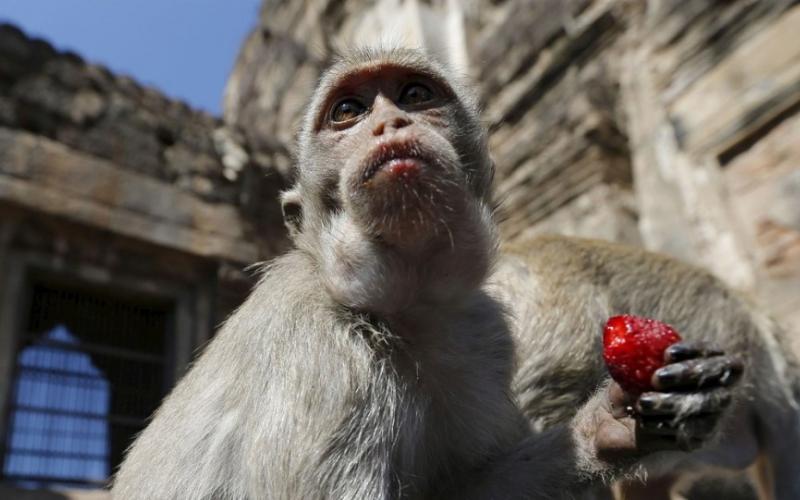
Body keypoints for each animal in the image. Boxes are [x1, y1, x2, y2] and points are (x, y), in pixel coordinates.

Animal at [111, 47, 744, 500]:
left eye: (415, 95)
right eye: (348, 111)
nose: (390, 123)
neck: (399, 308)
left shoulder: (487, 332)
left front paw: (609, 426)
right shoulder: (315, 352)